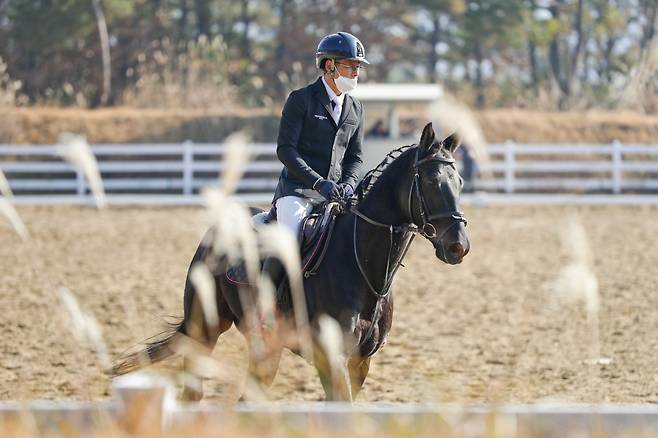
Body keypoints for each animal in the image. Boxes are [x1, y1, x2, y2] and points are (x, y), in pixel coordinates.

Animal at [114, 122, 472, 400]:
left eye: (460, 182)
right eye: (430, 182)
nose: (458, 247)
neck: (363, 265)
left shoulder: (360, 362)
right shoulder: (331, 356)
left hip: (263, 346)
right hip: (205, 329)